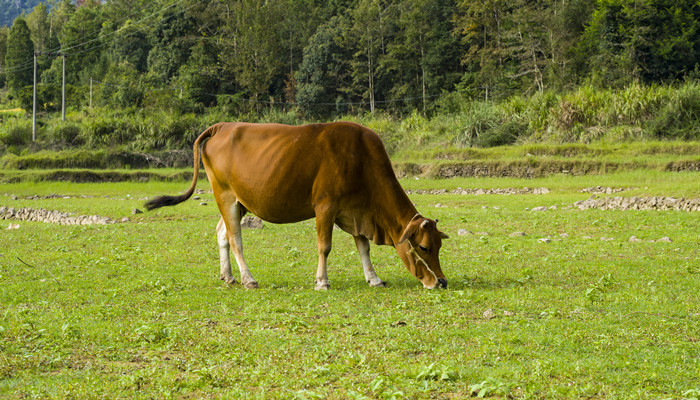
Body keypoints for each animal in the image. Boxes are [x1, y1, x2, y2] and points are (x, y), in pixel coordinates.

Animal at [146, 120, 448, 290]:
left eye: (439, 246)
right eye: (423, 247)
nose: (442, 282)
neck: (361, 159)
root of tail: (221, 127)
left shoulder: (355, 211)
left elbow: (363, 247)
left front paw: (374, 279)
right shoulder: (325, 206)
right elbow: (324, 247)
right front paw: (322, 281)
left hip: (239, 201)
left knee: (221, 233)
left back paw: (228, 276)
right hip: (225, 196)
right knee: (235, 239)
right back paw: (247, 279)